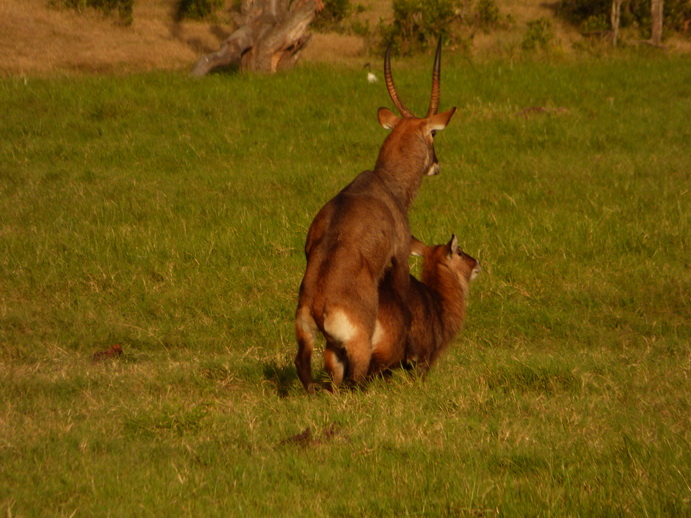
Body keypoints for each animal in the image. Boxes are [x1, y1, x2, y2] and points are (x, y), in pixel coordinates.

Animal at [294, 38, 456, 392]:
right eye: (434, 134)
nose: (436, 164)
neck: (384, 183)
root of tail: (317, 306)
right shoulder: (399, 257)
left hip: (305, 342)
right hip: (357, 347)